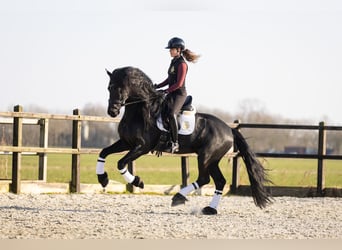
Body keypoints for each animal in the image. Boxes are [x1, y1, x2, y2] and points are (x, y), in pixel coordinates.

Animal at [96, 66, 272, 215]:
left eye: (118, 88)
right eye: (109, 88)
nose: (112, 112)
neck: (140, 111)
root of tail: (229, 129)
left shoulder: (141, 147)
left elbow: (121, 163)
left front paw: (137, 182)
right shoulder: (126, 143)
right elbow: (103, 152)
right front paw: (103, 179)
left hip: (205, 157)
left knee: (204, 179)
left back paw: (179, 197)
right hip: (212, 160)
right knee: (220, 181)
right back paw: (210, 209)